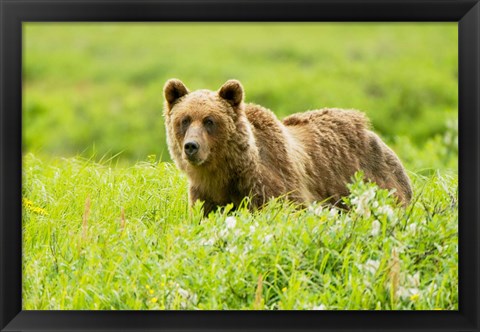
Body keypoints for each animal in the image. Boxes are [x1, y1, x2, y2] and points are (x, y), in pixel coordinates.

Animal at [164, 79, 412, 217]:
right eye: (184, 120)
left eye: (209, 120)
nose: (191, 146)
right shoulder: (205, 194)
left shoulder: (271, 184)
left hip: (376, 181)